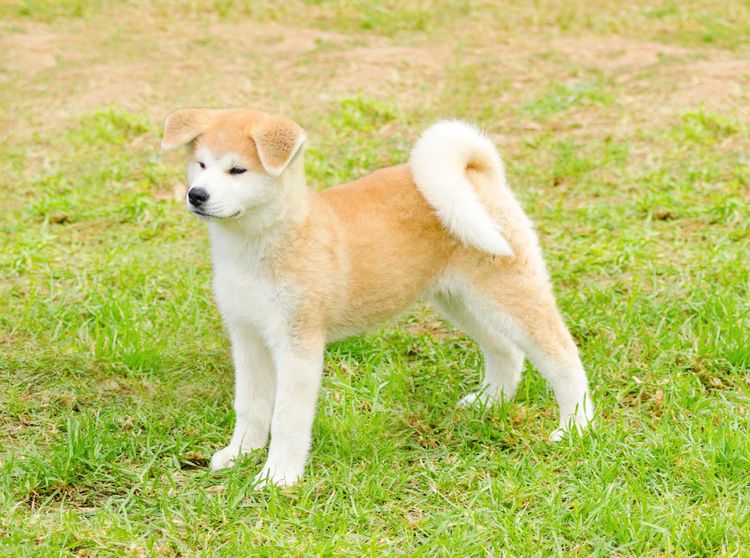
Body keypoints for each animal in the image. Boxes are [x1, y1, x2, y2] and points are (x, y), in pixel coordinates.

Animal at [162, 108, 596, 486]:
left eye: (237, 170)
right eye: (201, 164)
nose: (196, 195)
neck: (261, 244)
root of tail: (478, 174)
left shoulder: (298, 343)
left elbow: (286, 416)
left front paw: (278, 477)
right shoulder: (248, 337)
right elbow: (250, 405)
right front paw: (240, 453)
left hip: (508, 293)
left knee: (563, 358)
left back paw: (576, 426)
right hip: (461, 300)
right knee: (506, 351)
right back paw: (490, 402)